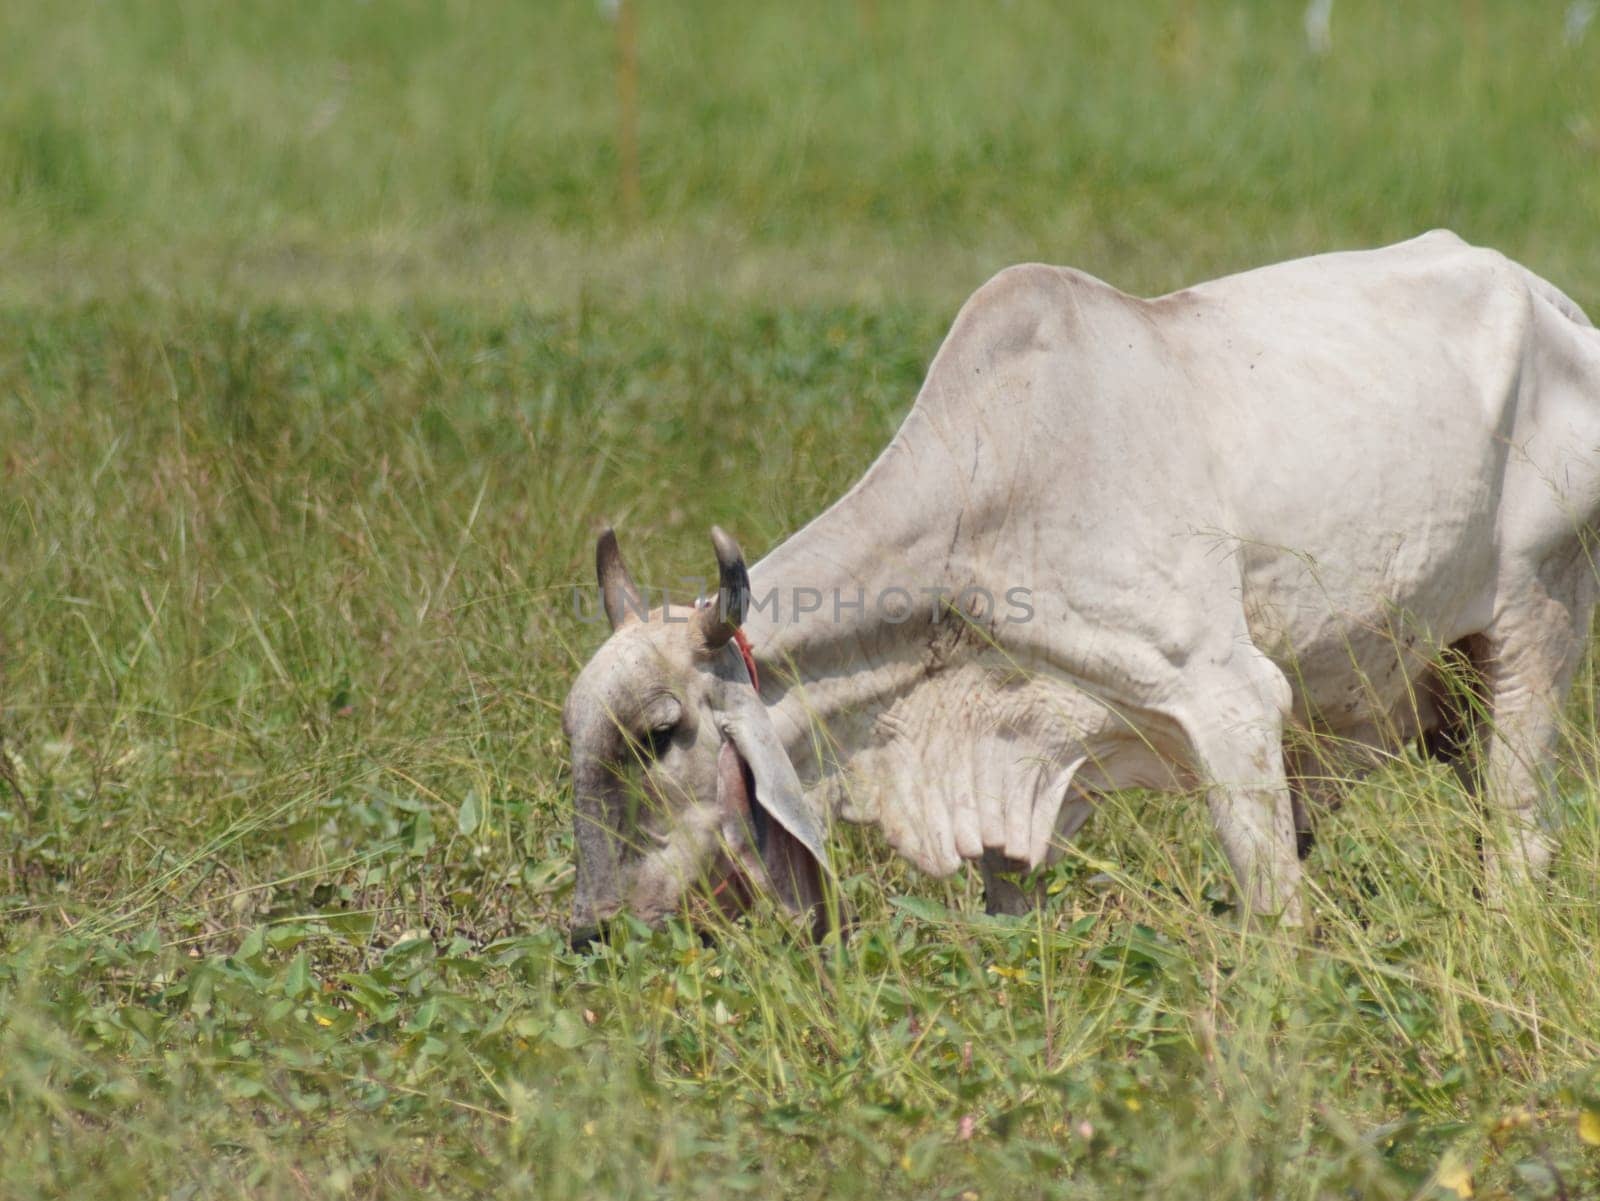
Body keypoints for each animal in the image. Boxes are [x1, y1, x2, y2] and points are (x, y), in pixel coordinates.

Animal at [556, 230, 1593, 933]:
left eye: (662, 733)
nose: (592, 929)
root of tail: (1552, 301)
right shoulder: (1002, 775)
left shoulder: (1233, 701)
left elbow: (1278, 917)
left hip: (1534, 619)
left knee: (1517, 835)